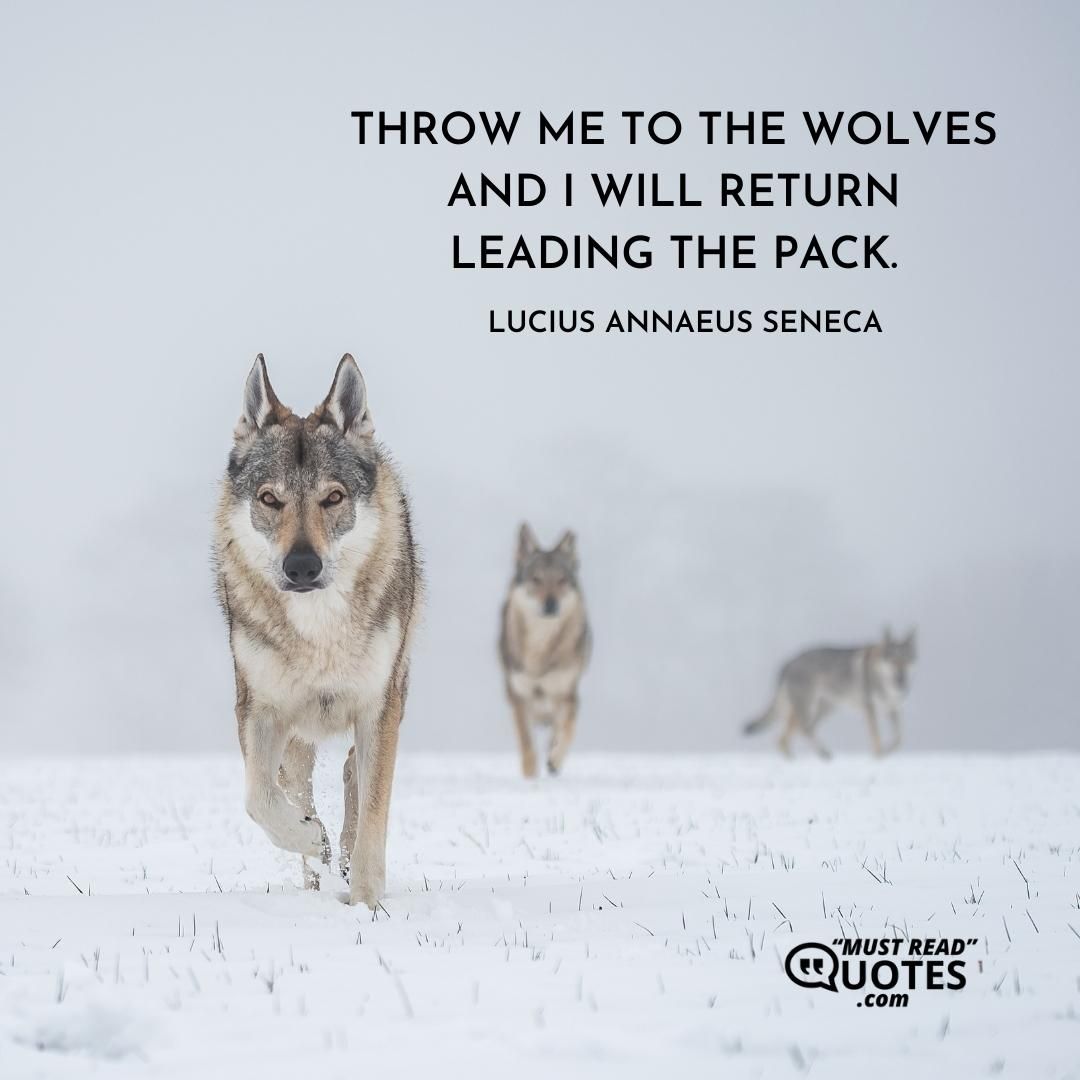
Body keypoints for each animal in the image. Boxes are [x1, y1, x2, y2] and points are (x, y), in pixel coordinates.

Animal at [213, 353, 421, 908]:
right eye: (269, 499)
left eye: (333, 497)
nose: (302, 566)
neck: (319, 630)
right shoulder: (259, 710)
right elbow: (259, 797)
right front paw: (309, 837)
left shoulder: (378, 705)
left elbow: (372, 815)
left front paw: (366, 903)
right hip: (296, 737)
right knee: (298, 785)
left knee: (352, 771)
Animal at [498, 524, 591, 777]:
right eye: (536, 579)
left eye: (561, 580)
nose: (551, 603)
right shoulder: (518, 696)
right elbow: (526, 740)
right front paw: (530, 772)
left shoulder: (568, 695)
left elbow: (567, 730)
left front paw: (555, 760)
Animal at [745, 629, 917, 757]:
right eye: (893, 660)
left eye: (907, 660)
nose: (901, 679)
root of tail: (788, 662)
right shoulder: (869, 708)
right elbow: (877, 737)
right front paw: (879, 755)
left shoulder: (892, 709)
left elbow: (898, 739)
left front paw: (885, 752)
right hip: (807, 706)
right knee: (796, 733)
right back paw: (820, 754)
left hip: (826, 707)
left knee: (799, 732)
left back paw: (820, 754)